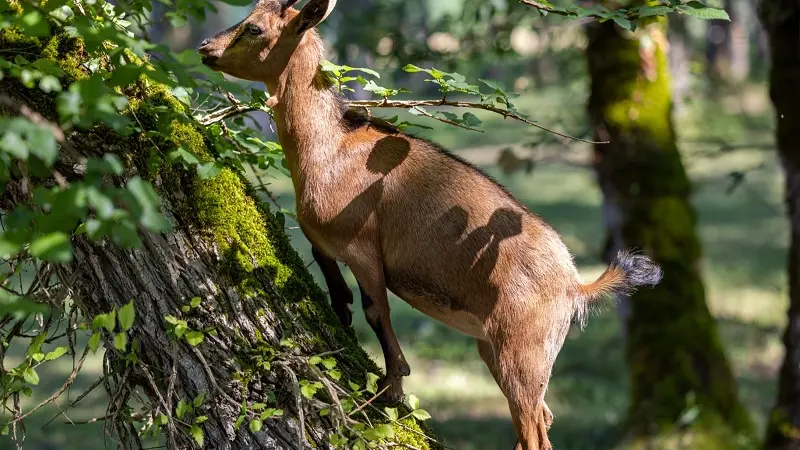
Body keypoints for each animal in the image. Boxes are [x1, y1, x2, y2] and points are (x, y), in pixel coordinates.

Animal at [197, 1, 660, 448]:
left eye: (254, 28)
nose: (205, 48)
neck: (330, 149)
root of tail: (575, 285)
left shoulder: (363, 248)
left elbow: (376, 312)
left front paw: (391, 389)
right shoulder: (322, 242)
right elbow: (339, 294)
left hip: (524, 353)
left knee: (535, 431)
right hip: (497, 349)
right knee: (542, 418)